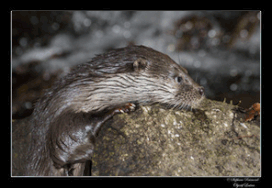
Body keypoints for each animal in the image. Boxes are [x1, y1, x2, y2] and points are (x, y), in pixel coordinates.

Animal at [12, 45, 204, 176]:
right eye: (179, 78)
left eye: (187, 71)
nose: (201, 90)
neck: (88, 91)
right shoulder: (62, 112)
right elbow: (66, 142)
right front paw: (121, 107)